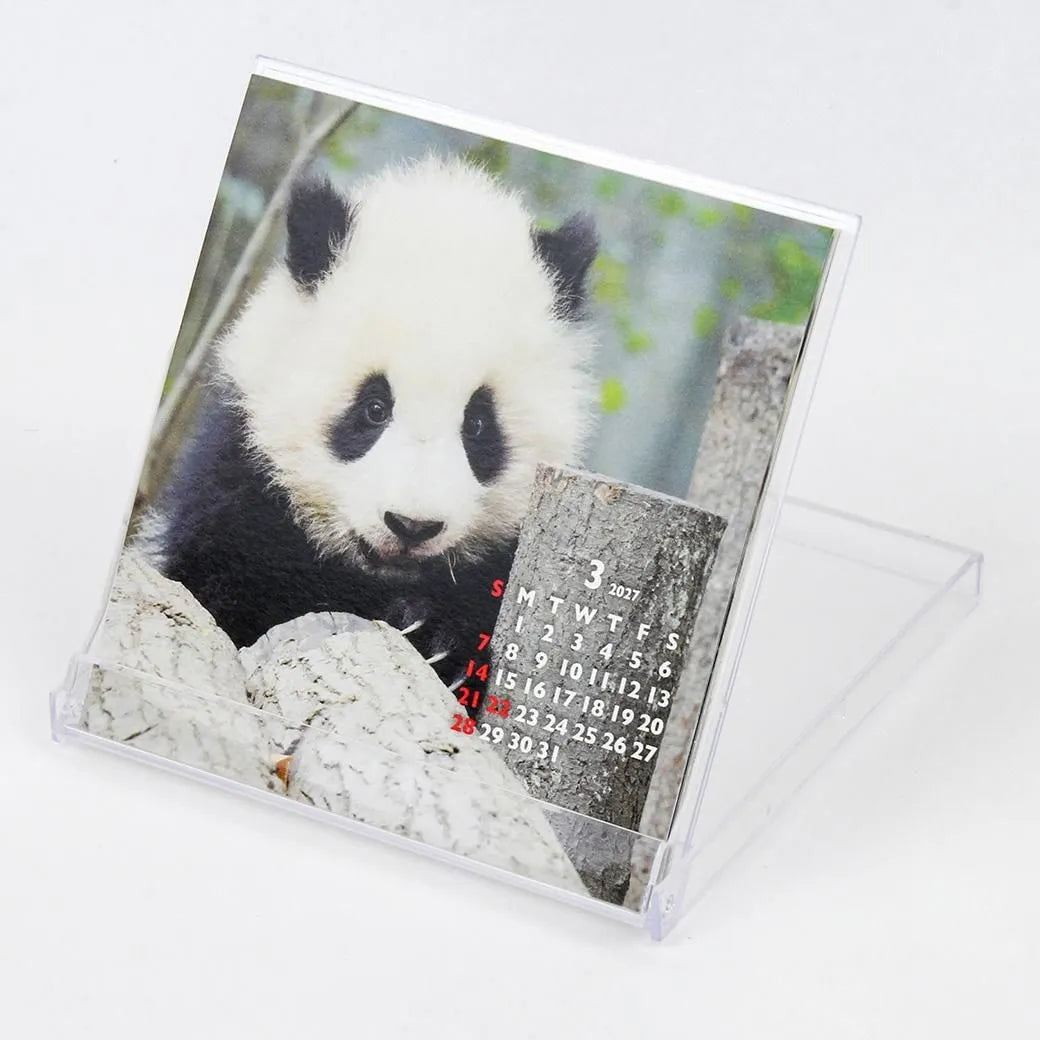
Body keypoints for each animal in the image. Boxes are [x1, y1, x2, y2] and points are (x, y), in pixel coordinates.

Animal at [146, 156, 599, 696]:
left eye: (478, 424)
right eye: (374, 408)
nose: (412, 526)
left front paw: (441, 639)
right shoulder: (234, 479)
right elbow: (229, 591)